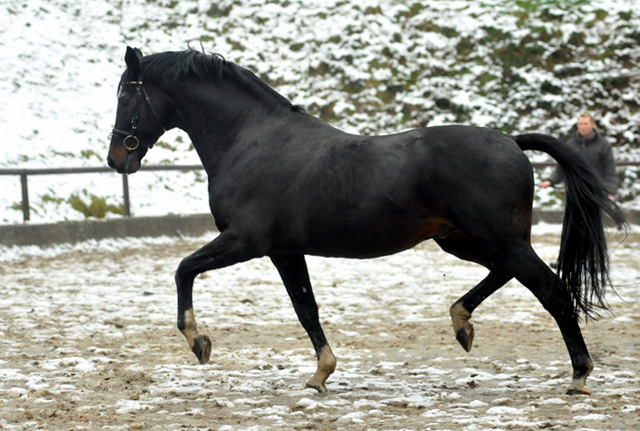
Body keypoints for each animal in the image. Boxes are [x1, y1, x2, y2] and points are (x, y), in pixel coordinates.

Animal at [109, 46, 624, 394]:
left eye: (126, 98)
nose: (117, 159)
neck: (251, 140)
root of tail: (511, 142)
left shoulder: (246, 242)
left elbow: (184, 270)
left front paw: (198, 341)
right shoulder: (285, 250)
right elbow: (306, 308)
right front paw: (321, 373)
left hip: (497, 238)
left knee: (553, 290)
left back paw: (579, 375)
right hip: (462, 240)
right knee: (508, 275)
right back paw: (462, 323)